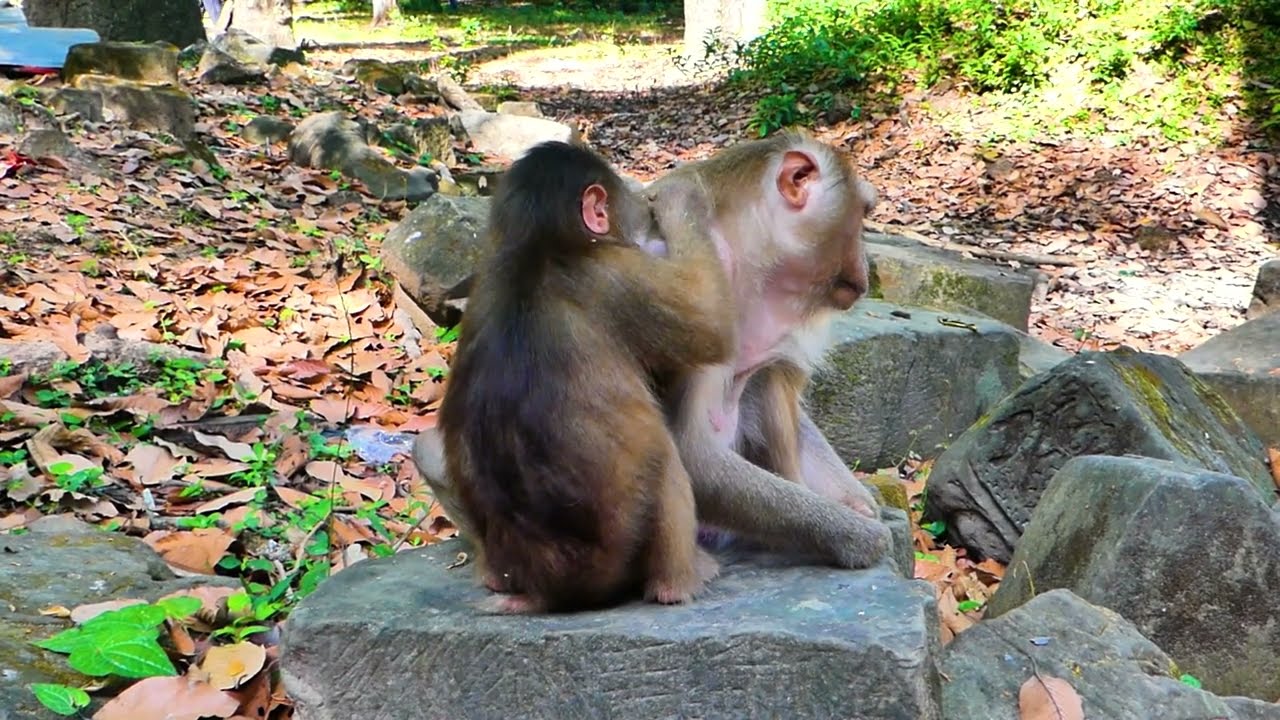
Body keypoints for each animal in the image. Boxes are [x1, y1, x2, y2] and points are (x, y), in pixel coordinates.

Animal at [420, 140, 734, 614]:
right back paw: (678, 583)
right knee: (663, 460)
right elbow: (712, 322)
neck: (536, 247)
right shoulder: (618, 273)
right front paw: (683, 197)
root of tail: (546, 588)